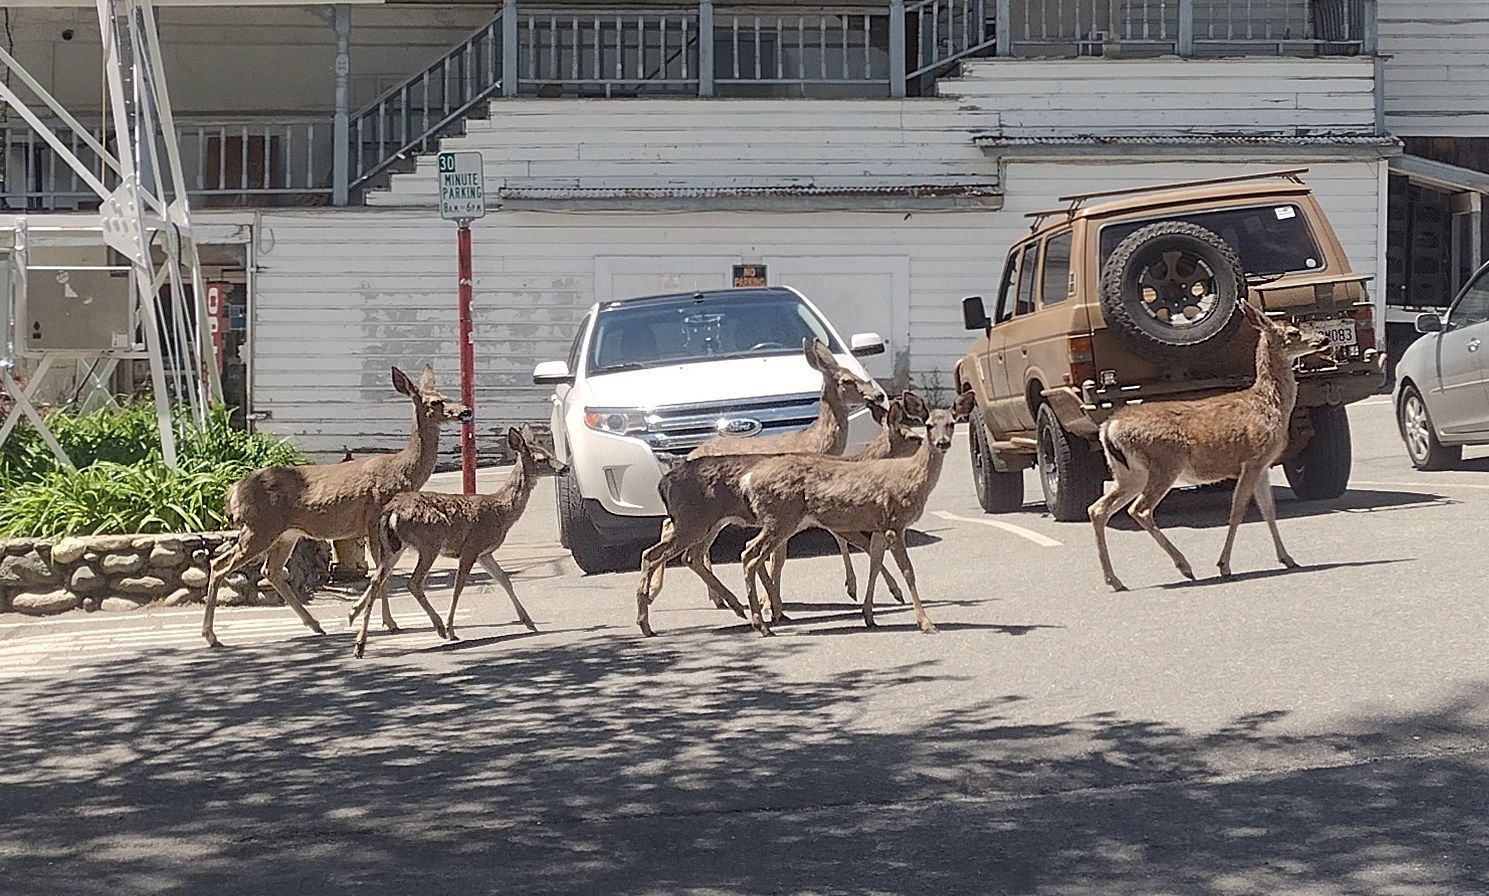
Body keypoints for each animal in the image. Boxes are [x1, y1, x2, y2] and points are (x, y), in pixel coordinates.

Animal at [201, 365, 469, 647]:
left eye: (446, 395)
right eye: (435, 402)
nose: (465, 411)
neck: (403, 471)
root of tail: (233, 491)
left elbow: (383, 569)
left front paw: (379, 619)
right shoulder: (374, 518)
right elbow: (380, 569)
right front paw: (387, 622)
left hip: (285, 533)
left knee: (270, 570)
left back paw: (316, 625)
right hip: (260, 528)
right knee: (219, 565)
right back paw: (211, 635)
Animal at [346, 425, 566, 658]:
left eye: (550, 452)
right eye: (541, 459)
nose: (565, 468)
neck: (500, 511)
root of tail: (391, 511)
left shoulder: (484, 553)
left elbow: (504, 579)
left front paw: (529, 622)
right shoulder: (471, 547)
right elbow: (459, 585)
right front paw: (452, 628)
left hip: (394, 546)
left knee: (377, 580)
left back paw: (359, 639)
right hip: (429, 542)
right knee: (413, 582)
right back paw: (439, 627)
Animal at [634, 394, 922, 637]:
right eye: (914, 438)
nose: (927, 445)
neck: (855, 463)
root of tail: (664, 482)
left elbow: (776, 560)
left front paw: (775, 606)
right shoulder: (829, 520)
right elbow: (858, 545)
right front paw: (889, 592)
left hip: (708, 522)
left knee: (685, 553)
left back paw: (731, 605)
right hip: (696, 520)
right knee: (657, 552)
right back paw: (648, 618)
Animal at [730, 391, 978, 637]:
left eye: (951, 423)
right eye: (927, 426)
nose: (943, 442)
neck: (912, 478)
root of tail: (748, 478)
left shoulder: (879, 525)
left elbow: (875, 564)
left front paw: (869, 615)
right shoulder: (894, 523)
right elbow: (908, 571)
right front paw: (926, 623)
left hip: (781, 521)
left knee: (750, 551)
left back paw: (765, 616)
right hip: (781, 518)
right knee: (750, 557)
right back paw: (762, 623)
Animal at [1087, 301, 1332, 592]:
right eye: (1294, 332)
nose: (1324, 339)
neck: (1269, 405)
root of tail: (1109, 427)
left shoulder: (1263, 466)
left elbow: (1269, 511)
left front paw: (1287, 558)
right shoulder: (1252, 459)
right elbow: (1237, 511)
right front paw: (1224, 565)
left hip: (1128, 474)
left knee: (1098, 509)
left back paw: (1115, 580)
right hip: (1164, 463)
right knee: (1140, 509)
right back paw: (1184, 567)